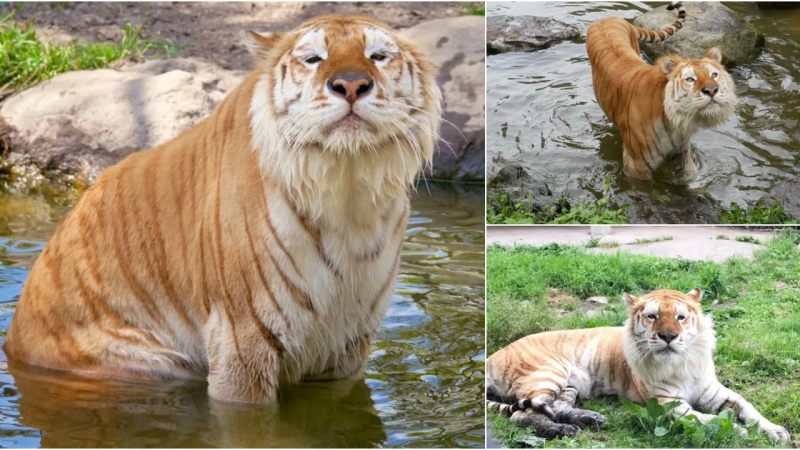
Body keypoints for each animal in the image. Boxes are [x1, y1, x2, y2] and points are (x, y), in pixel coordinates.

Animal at [3, 14, 444, 404]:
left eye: (378, 56)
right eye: (313, 58)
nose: (351, 85)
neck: (347, 185)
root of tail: (13, 341)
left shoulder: (346, 343)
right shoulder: (244, 334)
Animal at [484, 288, 792, 442]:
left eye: (680, 317)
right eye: (652, 316)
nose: (668, 336)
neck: (680, 363)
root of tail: (490, 357)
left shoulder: (715, 392)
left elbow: (748, 408)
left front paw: (776, 431)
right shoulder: (669, 404)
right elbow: (705, 419)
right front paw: (739, 432)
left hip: (570, 385)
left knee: (556, 407)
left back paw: (588, 419)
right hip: (548, 373)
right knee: (521, 414)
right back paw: (562, 431)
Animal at [588, 2, 736, 181]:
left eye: (714, 75)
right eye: (690, 79)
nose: (712, 89)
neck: (675, 122)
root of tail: (608, 18)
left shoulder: (681, 152)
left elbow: (692, 178)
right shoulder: (637, 166)